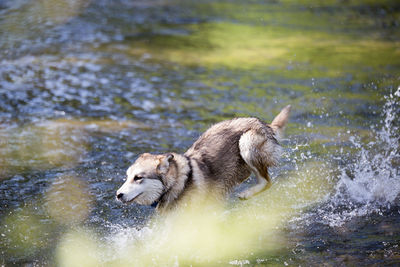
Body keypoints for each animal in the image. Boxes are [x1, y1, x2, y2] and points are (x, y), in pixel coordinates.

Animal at [115, 105, 290, 213]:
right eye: (127, 177)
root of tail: (265, 124)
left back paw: (246, 193)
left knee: (267, 181)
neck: (179, 184)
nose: (118, 195)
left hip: (246, 143)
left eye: (138, 177)